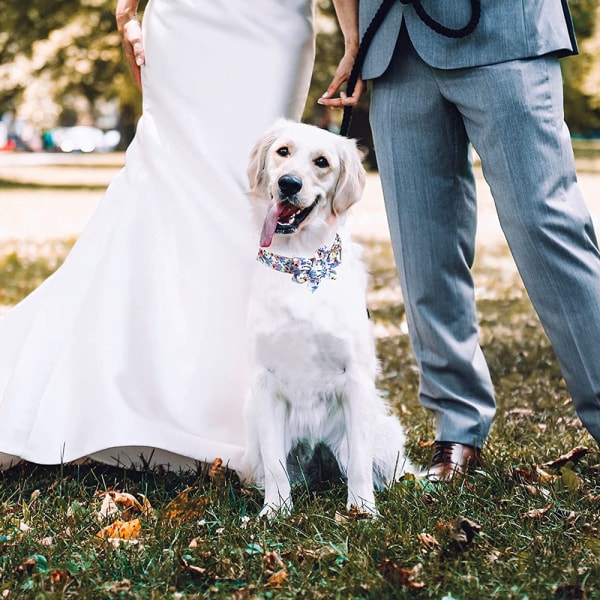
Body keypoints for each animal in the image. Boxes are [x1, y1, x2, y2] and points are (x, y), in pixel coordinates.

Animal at [241, 120, 414, 516]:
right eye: (283, 152)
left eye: (321, 162)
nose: (289, 183)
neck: (301, 267)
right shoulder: (264, 382)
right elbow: (275, 466)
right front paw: (274, 513)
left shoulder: (356, 379)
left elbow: (361, 464)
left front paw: (362, 512)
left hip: (383, 435)